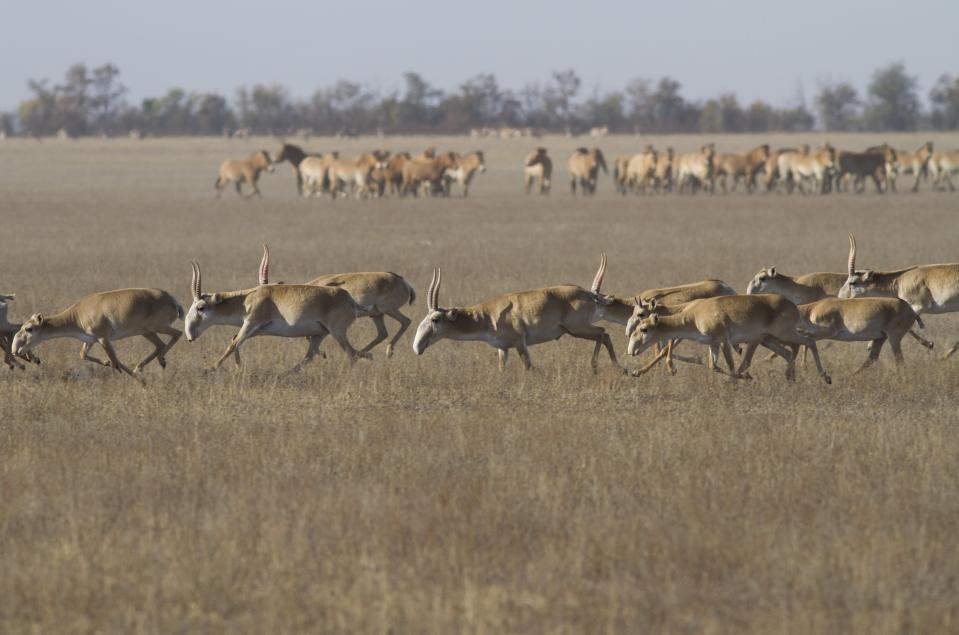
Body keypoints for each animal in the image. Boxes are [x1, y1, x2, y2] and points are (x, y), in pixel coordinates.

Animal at [9, 290, 182, 382]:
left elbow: (115, 362)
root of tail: (172, 299)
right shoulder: (90, 340)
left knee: (177, 334)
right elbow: (83, 355)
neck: (77, 313)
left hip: (157, 327)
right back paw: (146, 365)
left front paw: (140, 381)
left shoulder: (103, 338)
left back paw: (158, 361)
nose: (16, 349)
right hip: (146, 331)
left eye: (29, 328)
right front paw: (107, 363)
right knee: (160, 345)